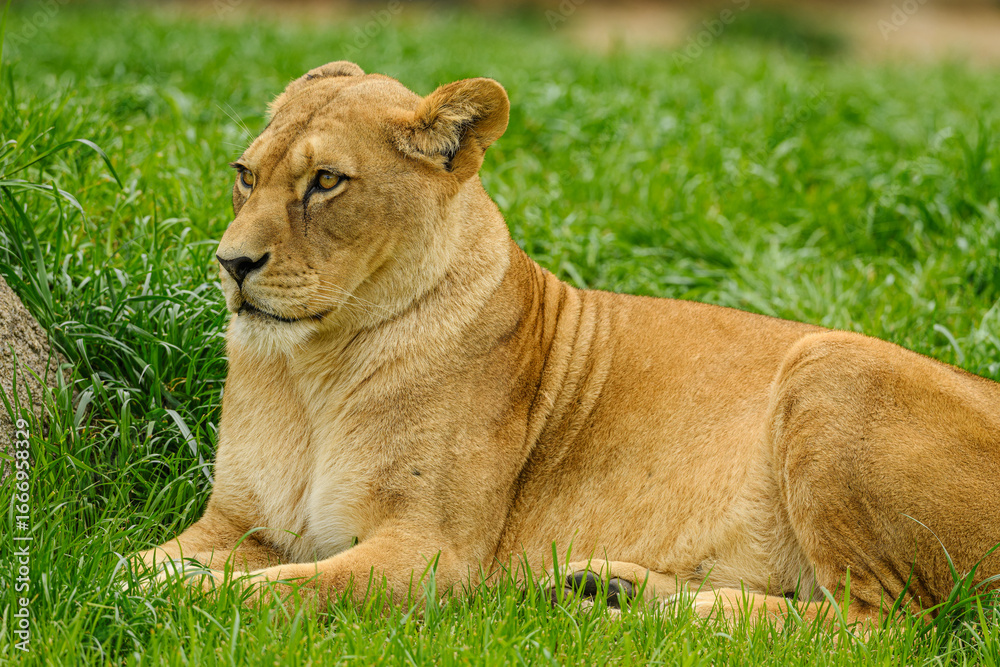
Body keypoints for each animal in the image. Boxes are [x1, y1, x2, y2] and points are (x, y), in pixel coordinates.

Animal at [137, 61, 1000, 628]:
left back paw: (678, 616)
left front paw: (160, 597)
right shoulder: (238, 525)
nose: (231, 264)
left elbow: (281, 588)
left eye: (325, 182)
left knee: (882, 626)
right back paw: (606, 591)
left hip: (830, 362)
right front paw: (127, 578)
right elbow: (133, 552)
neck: (311, 369)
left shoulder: (433, 554)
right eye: (245, 173)